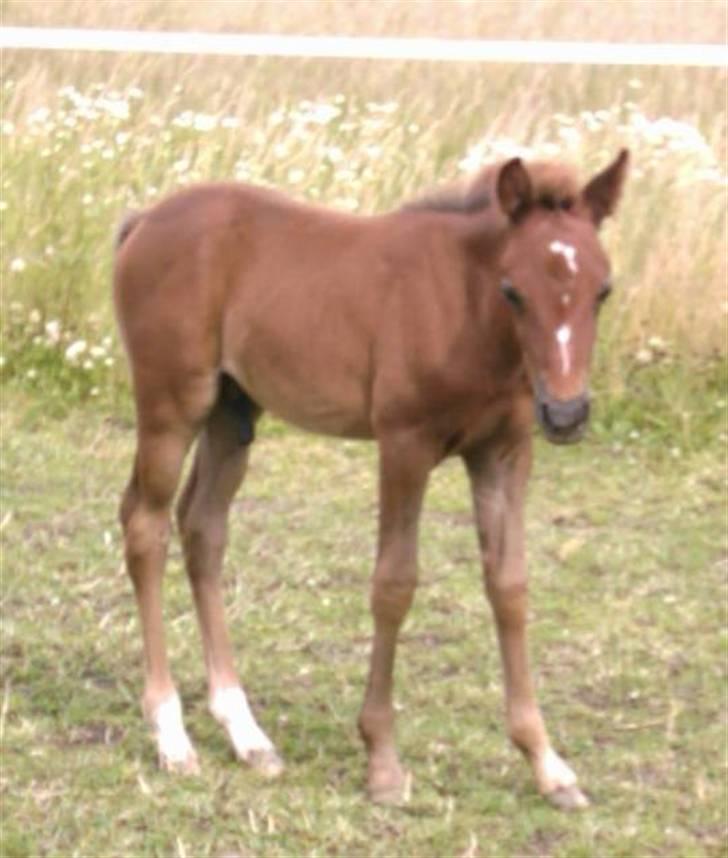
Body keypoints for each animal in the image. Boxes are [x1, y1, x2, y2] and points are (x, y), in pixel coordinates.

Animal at [114, 149, 624, 808]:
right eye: (513, 291)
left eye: (603, 291)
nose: (565, 414)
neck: (464, 305)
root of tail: (146, 219)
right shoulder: (404, 443)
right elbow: (394, 585)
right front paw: (382, 761)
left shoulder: (504, 451)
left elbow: (509, 588)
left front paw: (547, 764)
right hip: (172, 403)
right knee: (145, 527)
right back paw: (171, 735)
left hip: (232, 410)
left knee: (202, 528)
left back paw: (245, 732)